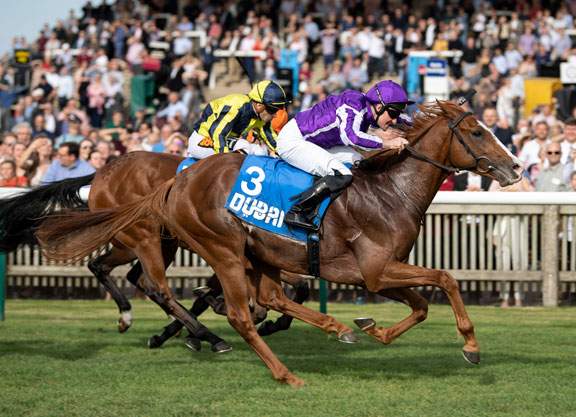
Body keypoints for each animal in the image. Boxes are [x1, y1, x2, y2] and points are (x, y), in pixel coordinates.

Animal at [37, 101, 523, 386]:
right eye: (477, 133)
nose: (516, 167)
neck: (390, 192)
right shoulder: (375, 270)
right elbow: (446, 278)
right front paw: (471, 347)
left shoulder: (380, 273)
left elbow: (421, 305)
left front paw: (374, 328)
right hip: (210, 247)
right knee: (200, 300)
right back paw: (270, 365)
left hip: (243, 252)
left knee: (258, 296)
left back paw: (334, 329)